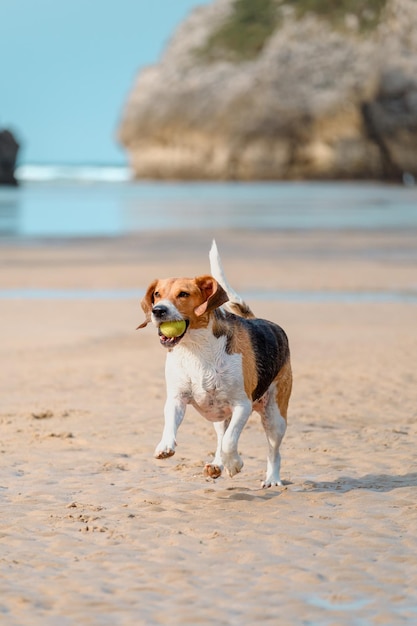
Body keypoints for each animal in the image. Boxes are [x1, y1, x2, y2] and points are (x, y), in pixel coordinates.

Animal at [138, 241, 290, 486]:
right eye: (157, 294)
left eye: (183, 294)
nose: (158, 310)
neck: (196, 349)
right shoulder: (176, 399)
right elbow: (171, 424)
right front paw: (165, 446)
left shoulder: (242, 405)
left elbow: (230, 442)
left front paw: (235, 464)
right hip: (220, 414)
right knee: (221, 436)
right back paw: (217, 465)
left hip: (275, 416)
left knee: (272, 451)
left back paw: (272, 478)